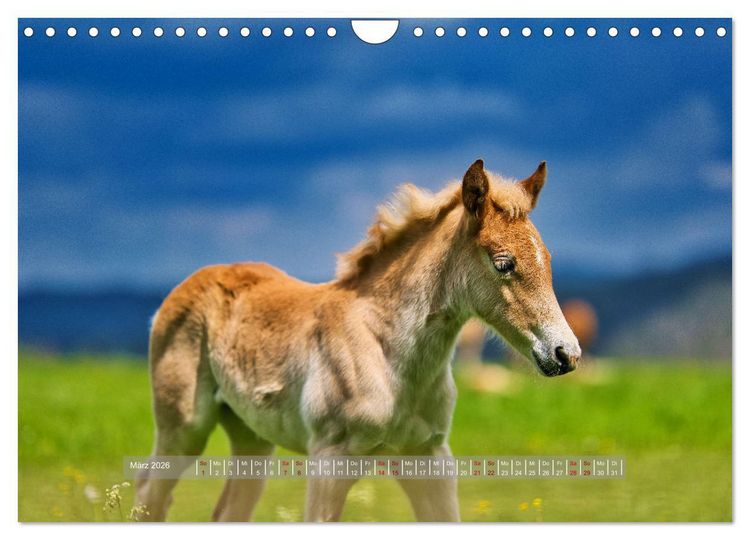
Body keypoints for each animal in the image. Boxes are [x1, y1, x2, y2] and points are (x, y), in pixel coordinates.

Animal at [136, 158, 581, 522]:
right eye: (504, 263)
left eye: (547, 260)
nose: (566, 354)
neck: (387, 354)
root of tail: (190, 283)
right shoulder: (330, 461)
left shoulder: (429, 459)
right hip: (183, 428)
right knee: (149, 494)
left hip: (253, 438)